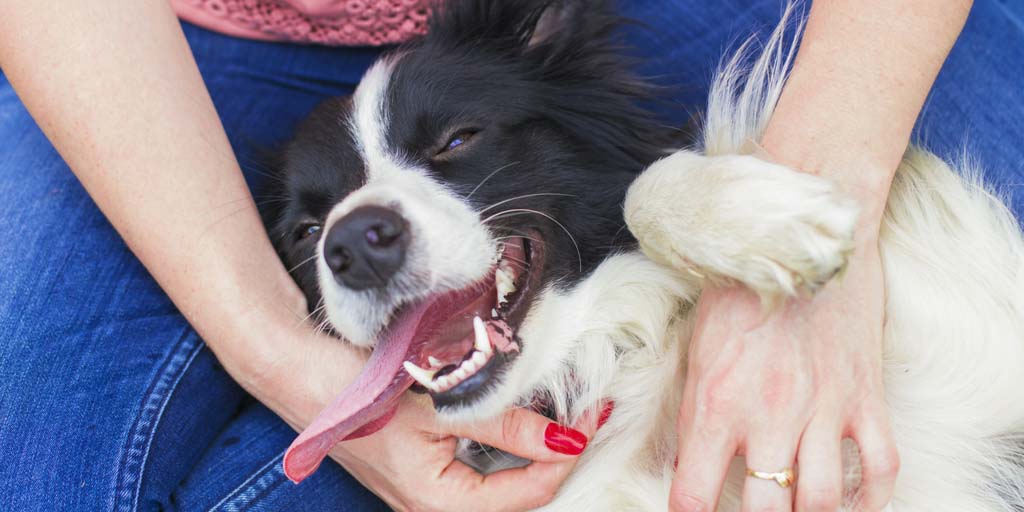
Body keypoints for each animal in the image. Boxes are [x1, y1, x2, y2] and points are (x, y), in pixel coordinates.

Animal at [258, 2, 1024, 509]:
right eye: (306, 231)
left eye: (456, 139)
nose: (351, 244)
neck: (611, 359)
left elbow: (644, 187)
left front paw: (774, 223)